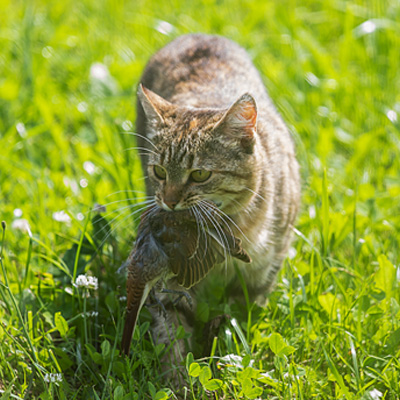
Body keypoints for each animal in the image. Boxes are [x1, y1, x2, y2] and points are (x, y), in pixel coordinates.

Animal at [134, 35, 300, 388]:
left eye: (200, 174)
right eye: (159, 172)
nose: (168, 201)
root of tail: (198, 35)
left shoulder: (259, 276)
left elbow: (236, 324)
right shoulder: (172, 279)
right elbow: (170, 331)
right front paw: (178, 382)